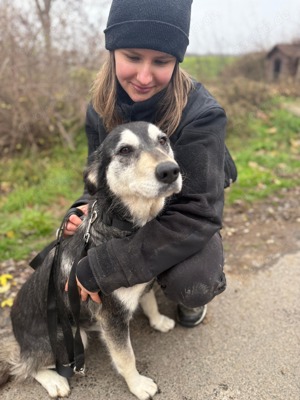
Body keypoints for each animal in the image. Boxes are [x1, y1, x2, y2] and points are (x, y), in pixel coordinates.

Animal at [0, 121, 183, 400]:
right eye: (125, 150)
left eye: (163, 140)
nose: (170, 171)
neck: (122, 226)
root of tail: (18, 337)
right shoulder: (111, 317)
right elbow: (125, 357)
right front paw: (138, 385)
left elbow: (149, 300)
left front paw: (158, 320)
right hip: (65, 339)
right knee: (25, 367)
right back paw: (55, 381)